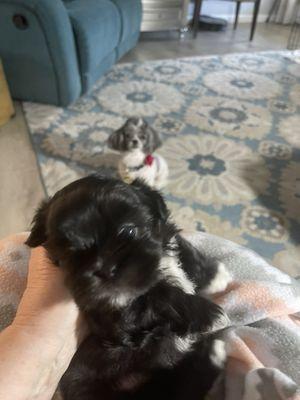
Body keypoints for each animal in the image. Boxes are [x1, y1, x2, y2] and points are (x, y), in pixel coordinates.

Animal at [26, 176, 230, 400]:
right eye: (71, 252)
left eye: (129, 231)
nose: (105, 268)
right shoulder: (113, 314)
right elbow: (157, 296)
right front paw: (207, 314)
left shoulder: (167, 240)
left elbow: (185, 252)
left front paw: (216, 275)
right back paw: (213, 354)